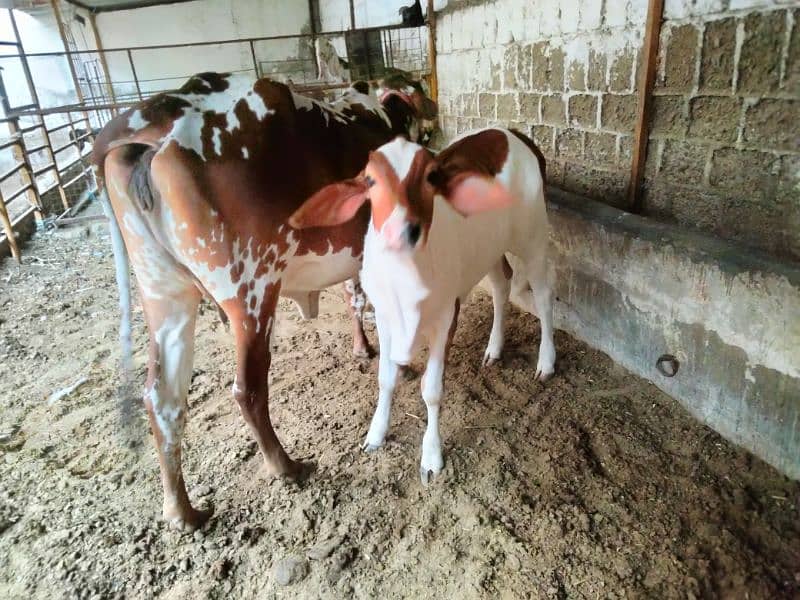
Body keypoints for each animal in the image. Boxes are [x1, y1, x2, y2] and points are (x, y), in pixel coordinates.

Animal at [94, 69, 438, 528]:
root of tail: (159, 113)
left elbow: (354, 296)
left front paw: (363, 348)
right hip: (251, 288)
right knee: (248, 390)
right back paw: (285, 466)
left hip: (163, 294)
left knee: (162, 400)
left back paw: (182, 510)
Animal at [290, 129, 556, 486]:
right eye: (370, 180)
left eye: (431, 177)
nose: (403, 230)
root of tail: (512, 133)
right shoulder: (385, 317)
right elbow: (385, 378)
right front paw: (376, 434)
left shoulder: (446, 317)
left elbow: (431, 390)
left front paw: (431, 455)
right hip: (487, 249)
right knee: (502, 284)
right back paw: (494, 349)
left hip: (533, 236)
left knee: (543, 293)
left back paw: (546, 361)